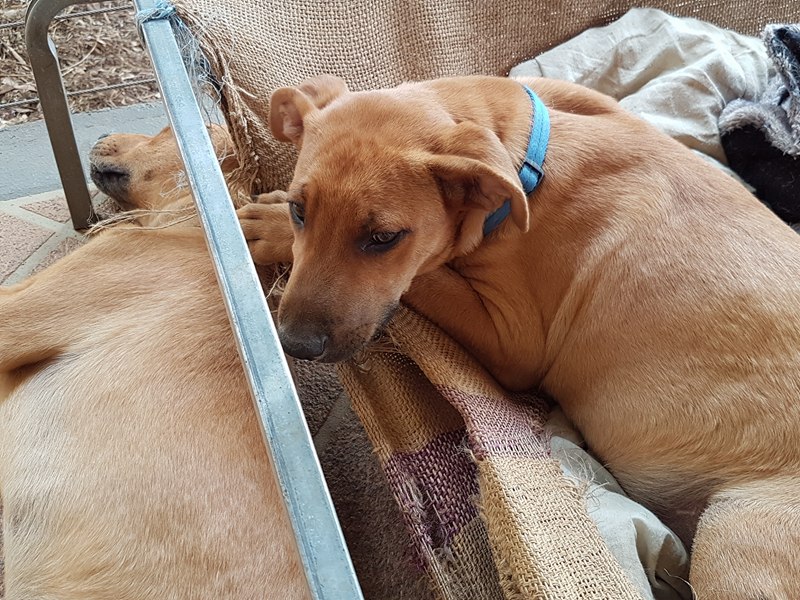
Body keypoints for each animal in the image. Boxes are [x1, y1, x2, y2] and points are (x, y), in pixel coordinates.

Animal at [237, 74, 800, 598]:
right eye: (302, 210)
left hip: (736, 541)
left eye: (383, 238)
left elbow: (428, 273)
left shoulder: (512, 345)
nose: (294, 345)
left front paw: (269, 228)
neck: (525, 162)